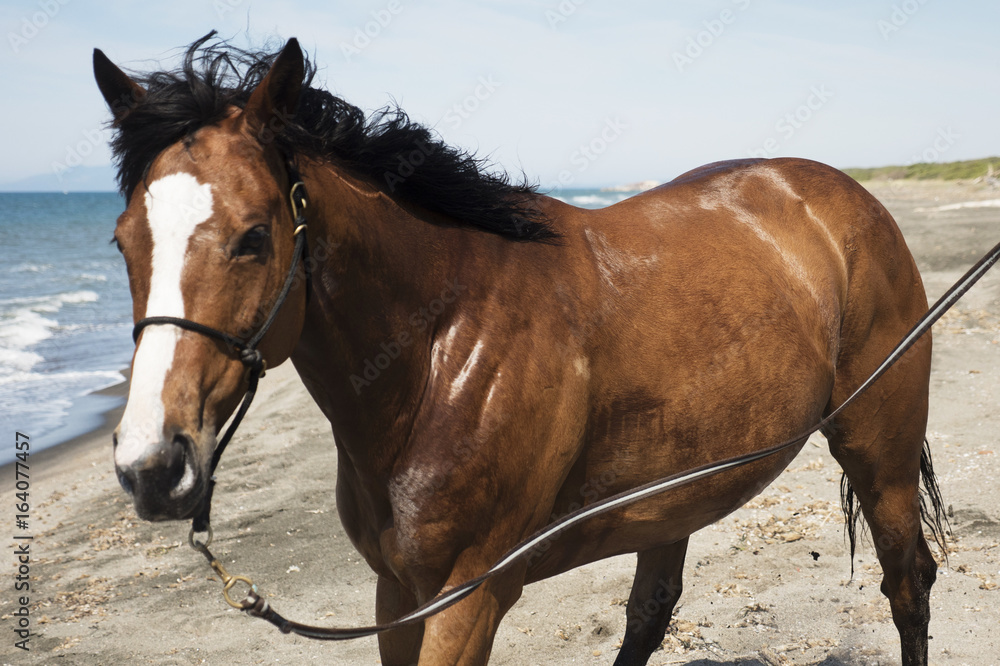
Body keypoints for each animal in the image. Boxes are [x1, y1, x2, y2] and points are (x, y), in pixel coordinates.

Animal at [95, 33, 946, 665]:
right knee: (651, 611)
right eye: (122, 239)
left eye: (254, 236)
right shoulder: (397, 596)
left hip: (879, 451)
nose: (151, 466)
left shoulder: (468, 598)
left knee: (908, 583)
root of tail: (843, 195)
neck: (439, 351)